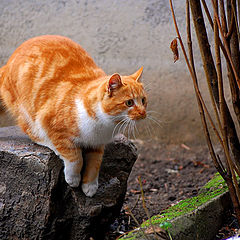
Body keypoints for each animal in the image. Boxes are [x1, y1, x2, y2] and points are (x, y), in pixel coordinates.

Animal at [0, 35, 146, 197]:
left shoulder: (97, 145)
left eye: (143, 100)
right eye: (129, 102)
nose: (143, 113)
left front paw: (90, 185)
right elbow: (76, 158)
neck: (104, 124)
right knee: (31, 131)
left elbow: (95, 163)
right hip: (27, 110)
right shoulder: (50, 123)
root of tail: (7, 65)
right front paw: (73, 178)